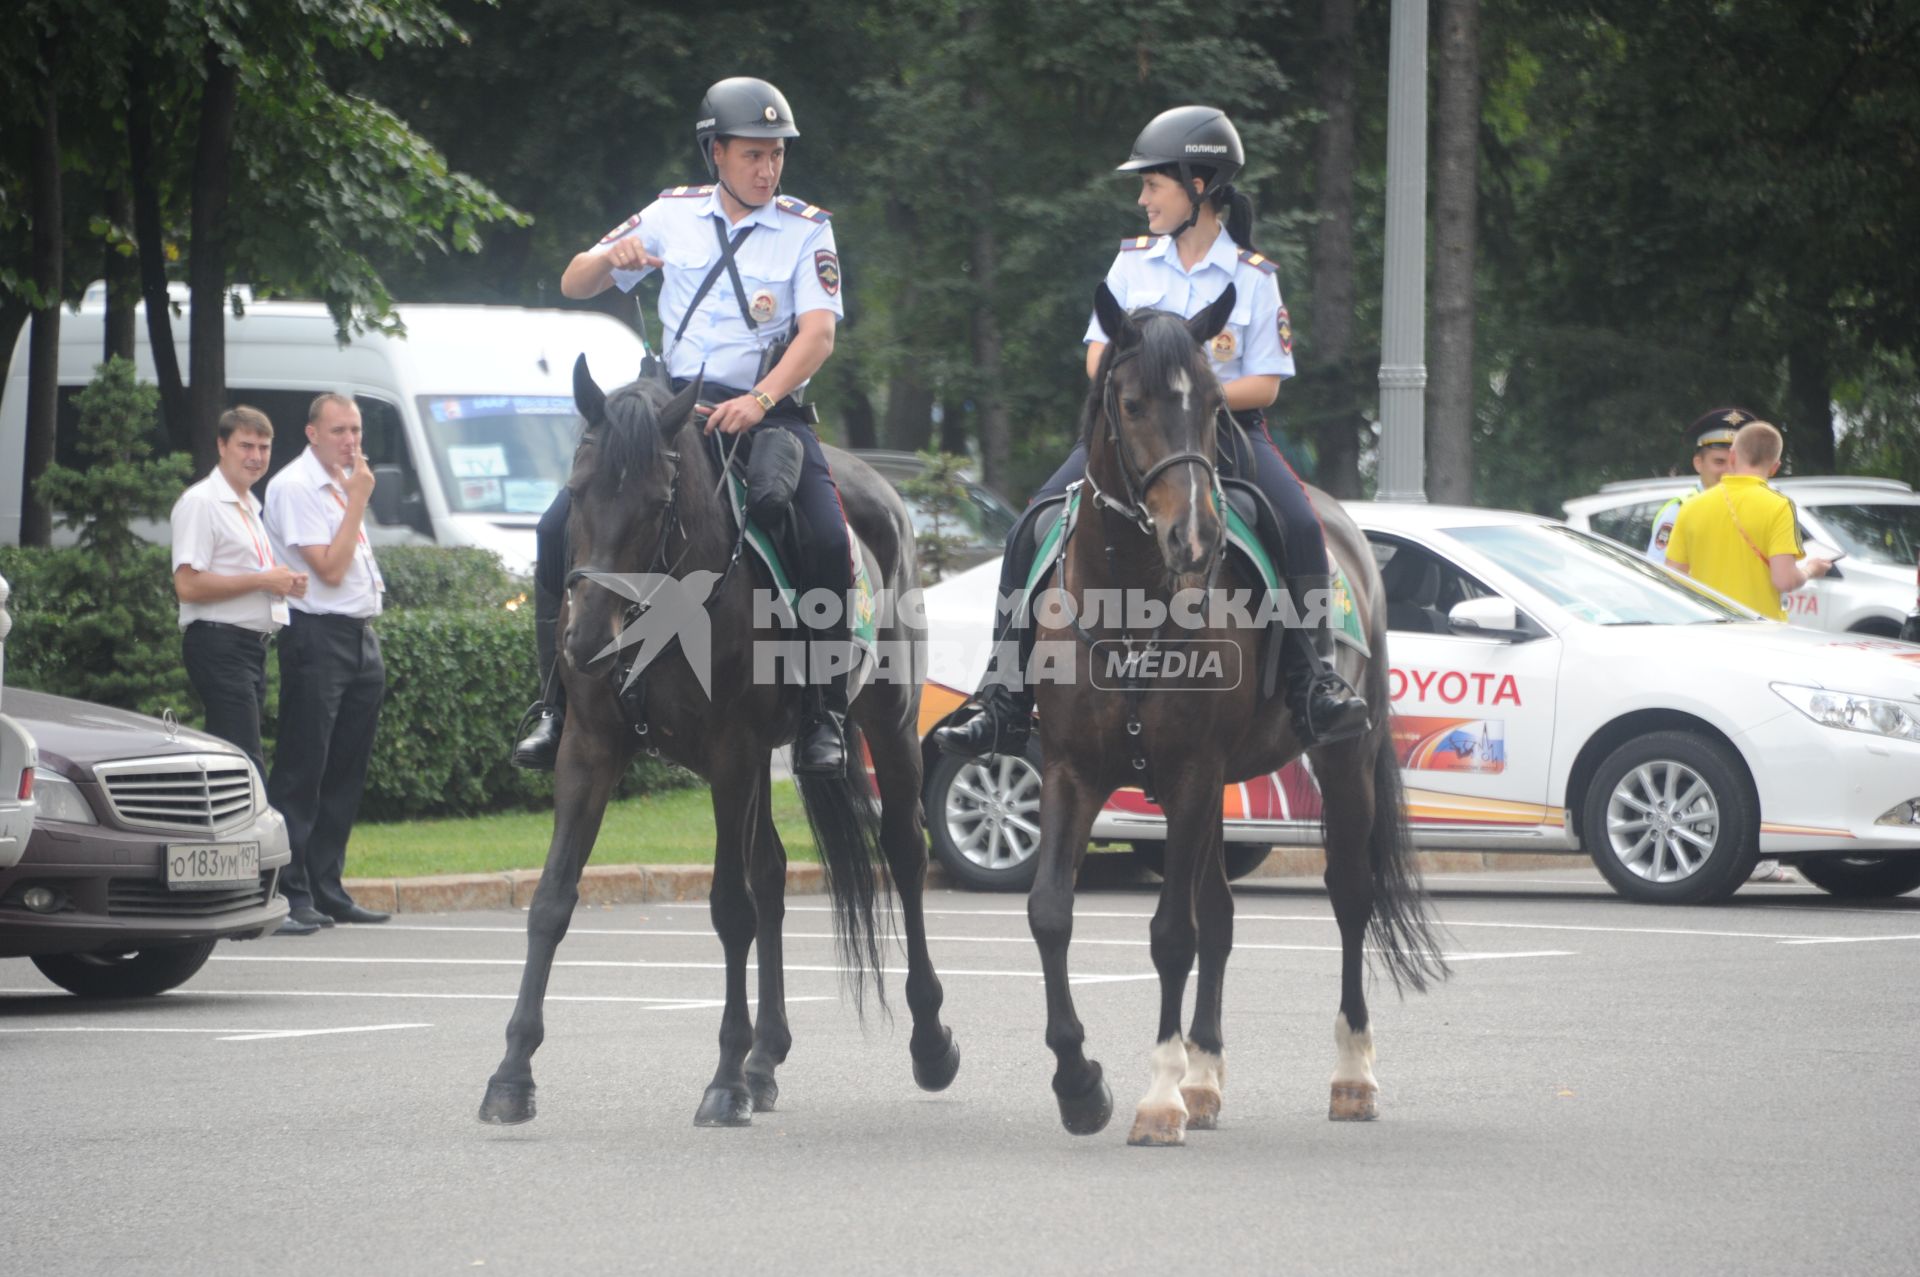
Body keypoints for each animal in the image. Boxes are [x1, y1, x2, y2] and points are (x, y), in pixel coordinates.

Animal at [480, 359, 960, 1129]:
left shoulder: (731, 752)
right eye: (577, 492)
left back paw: (928, 1041)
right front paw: (511, 1073)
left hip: (888, 723)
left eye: (657, 503)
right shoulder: (589, 748)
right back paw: (767, 1058)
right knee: (773, 873)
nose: (585, 640)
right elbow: (552, 899)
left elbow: (731, 909)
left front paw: (725, 1080)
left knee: (904, 854)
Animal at [1029, 288, 1443, 1144]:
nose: (1196, 537)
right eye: (1130, 402)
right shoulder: (1071, 770)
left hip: (1341, 760)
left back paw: (1352, 1073)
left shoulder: (1192, 774)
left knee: (1349, 895)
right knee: (1219, 912)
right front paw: (1081, 1082)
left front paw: (1157, 1095)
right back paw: (1205, 1076)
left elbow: (1170, 934)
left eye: (1218, 406)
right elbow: (1053, 912)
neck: (1132, 603)